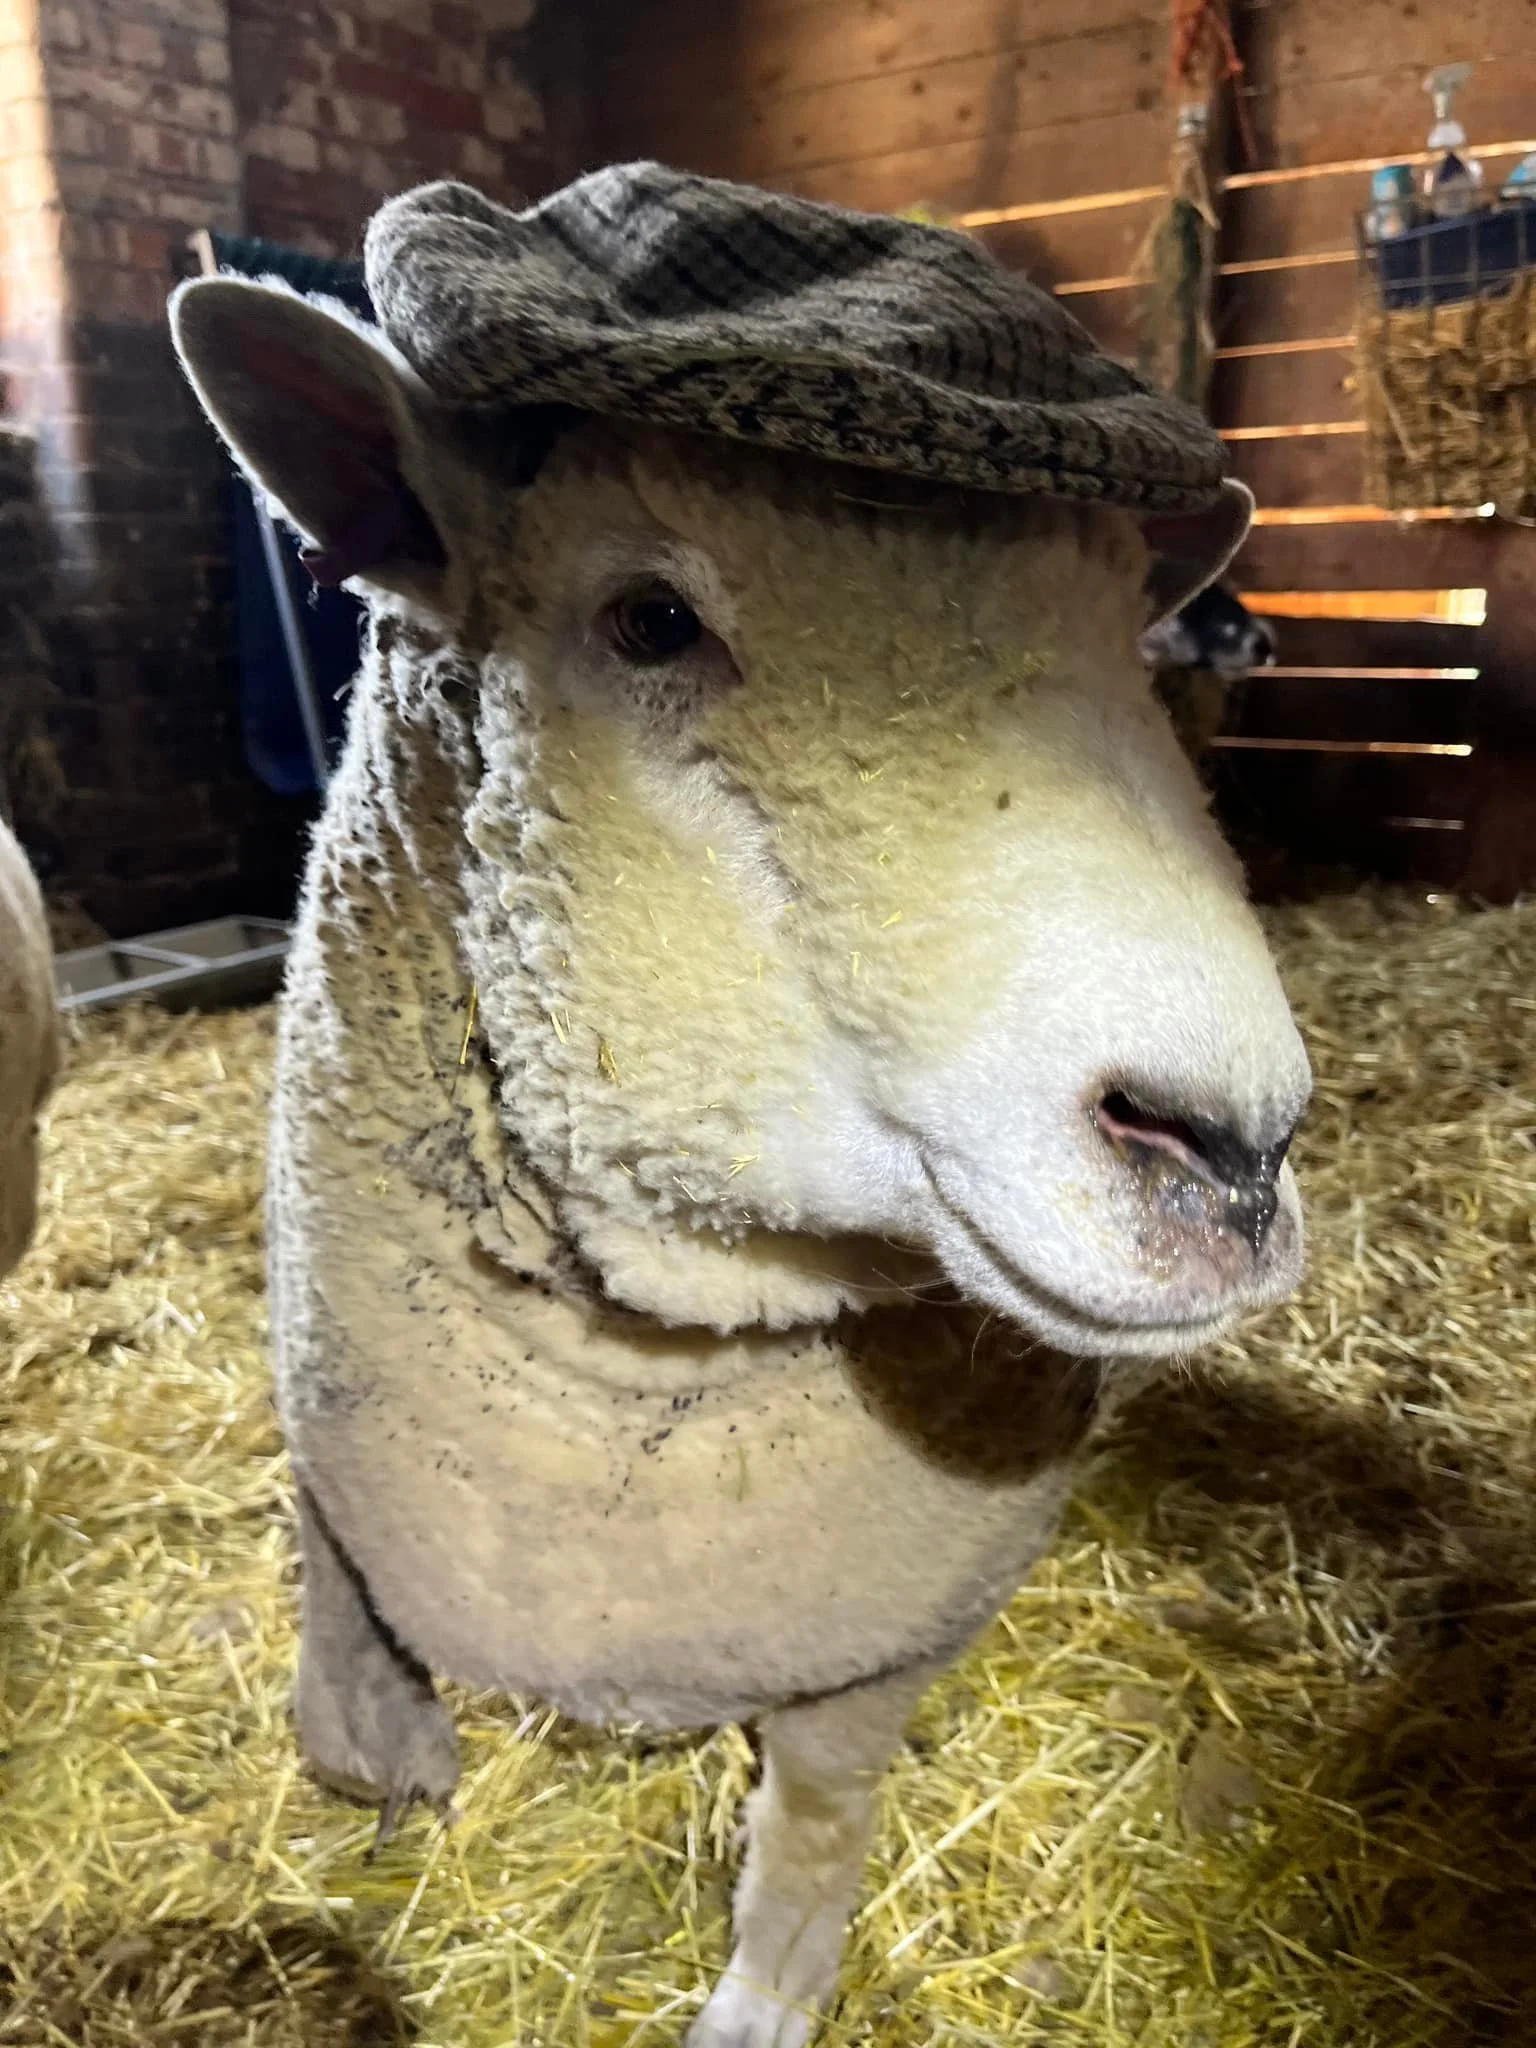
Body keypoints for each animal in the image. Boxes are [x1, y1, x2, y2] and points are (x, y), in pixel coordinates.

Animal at [170, 166, 1311, 2048]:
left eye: (1130, 651)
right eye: (650, 618)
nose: (1232, 1146)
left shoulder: (883, 1623)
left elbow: (825, 1801)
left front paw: (766, 1987)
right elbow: (341, 1623)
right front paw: (371, 1729)